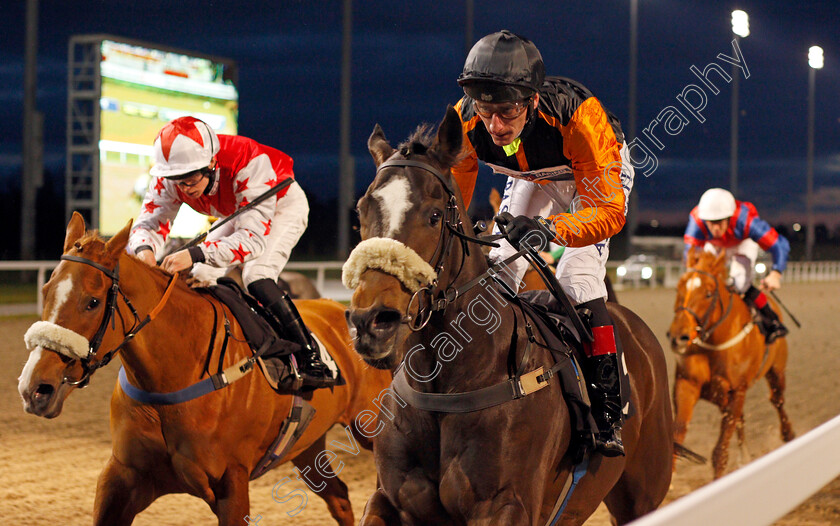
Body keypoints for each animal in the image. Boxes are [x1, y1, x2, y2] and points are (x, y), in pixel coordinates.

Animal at [16, 213, 390, 526]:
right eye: (46, 291)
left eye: (92, 302)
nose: (35, 388)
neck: (170, 382)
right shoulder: (121, 476)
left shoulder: (232, 485)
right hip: (307, 445)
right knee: (340, 497)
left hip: (370, 427)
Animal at [344, 108, 672, 526]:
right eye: (361, 212)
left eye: (434, 216)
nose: (372, 322)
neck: (448, 385)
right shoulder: (390, 498)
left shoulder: (505, 505)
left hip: (643, 494)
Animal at [668, 245, 796, 480]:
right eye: (678, 289)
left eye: (708, 293)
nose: (678, 337)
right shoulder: (686, 385)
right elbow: (676, 439)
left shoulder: (737, 390)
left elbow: (720, 452)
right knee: (741, 418)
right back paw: (744, 456)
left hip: (776, 371)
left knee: (778, 401)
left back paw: (788, 435)